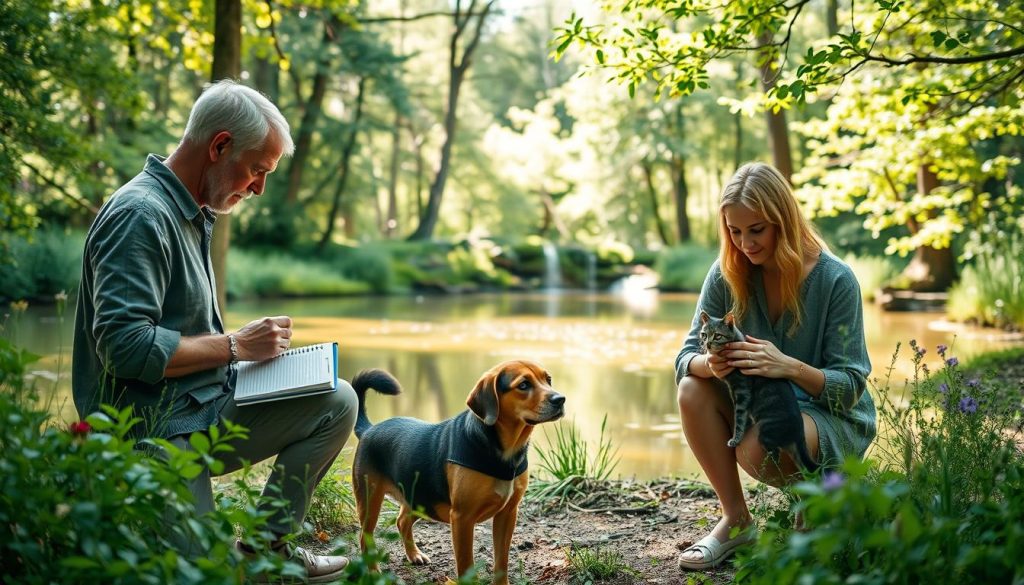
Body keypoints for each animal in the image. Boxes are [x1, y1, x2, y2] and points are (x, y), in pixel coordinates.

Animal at [348, 358, 565, 581]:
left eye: (548, 379)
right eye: (523, 385)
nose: (561, 399)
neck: (504, 450)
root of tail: (369, 430)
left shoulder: (507, 514)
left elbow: (501, 563)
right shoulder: (462, 518)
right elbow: (466, 564)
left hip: (421, 499)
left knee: (402, 522)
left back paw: (414, 554)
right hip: (370, 500)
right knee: (365, 536)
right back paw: (373, 571)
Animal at [696, 313, 815, 473]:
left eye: (717, 336)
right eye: (704, 334)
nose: (707, 344)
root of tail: (799, 433)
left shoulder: (742, 390)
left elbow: (739, 417)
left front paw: (736, 439)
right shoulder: (734, 391)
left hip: (766, 433)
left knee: (776, 455)